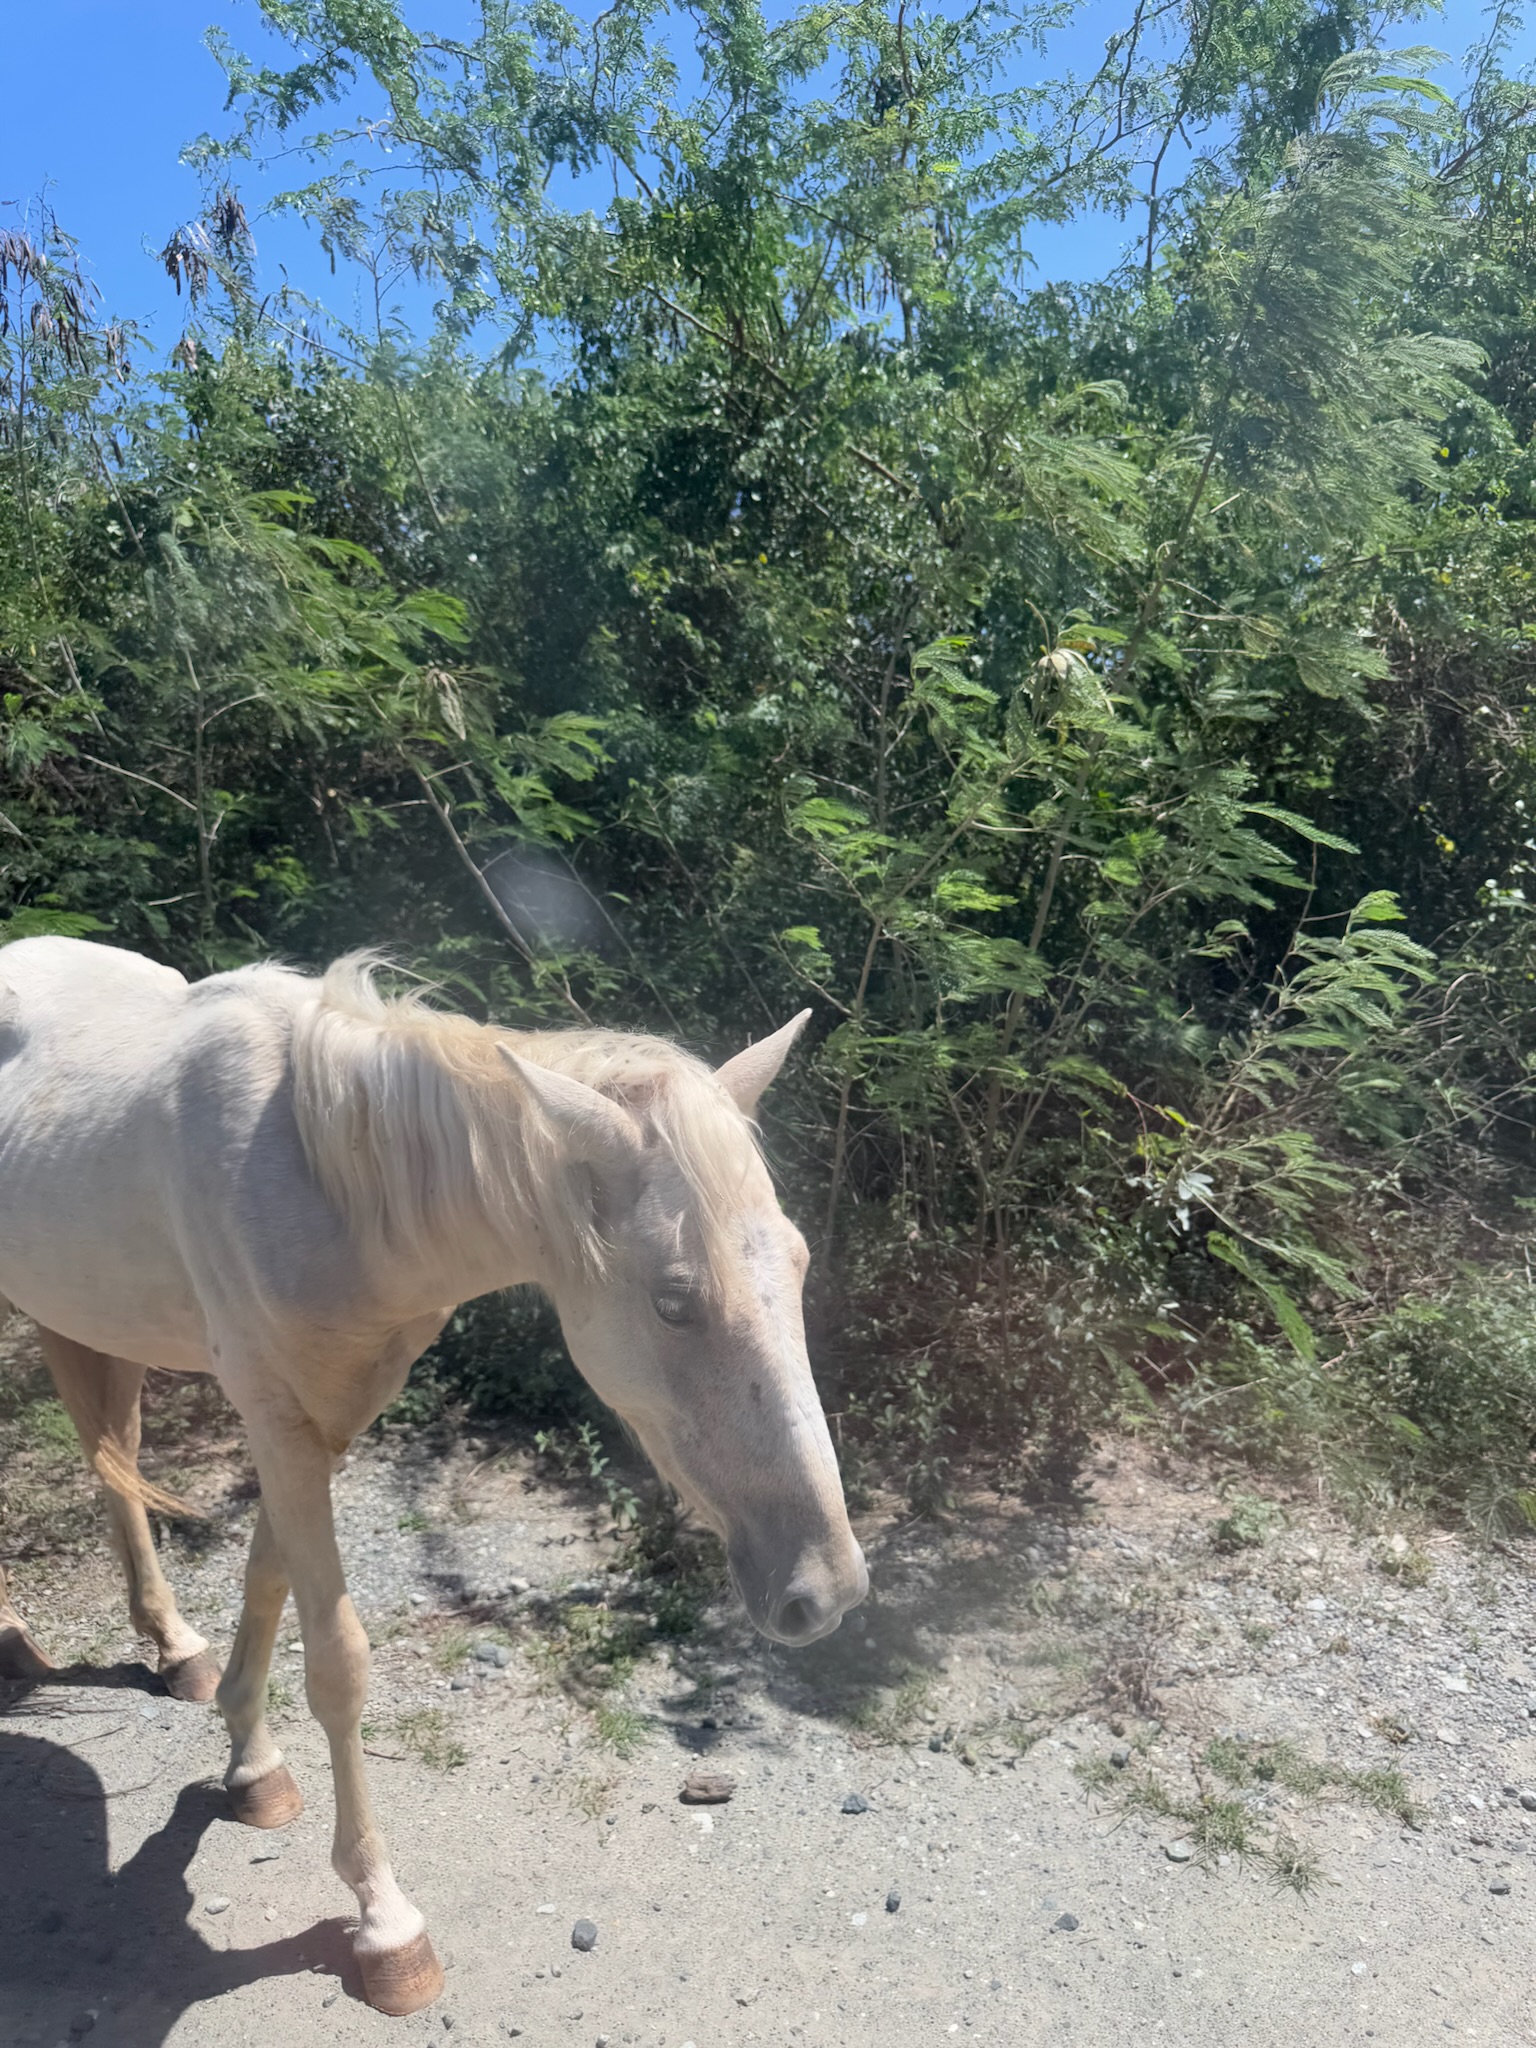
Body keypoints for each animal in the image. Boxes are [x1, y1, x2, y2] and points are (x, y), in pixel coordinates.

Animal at [0, 937, 867, 2015]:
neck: (325, 1172)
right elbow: (337, 1662)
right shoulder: (276, 1416)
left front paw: (251, 1765)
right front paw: (384, 1921)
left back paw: (172, 1647)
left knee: (115, 1469)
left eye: (795, 1261)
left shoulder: (323, 1416)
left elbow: (267, 1578)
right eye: (674, 1300)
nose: (828, 1589)